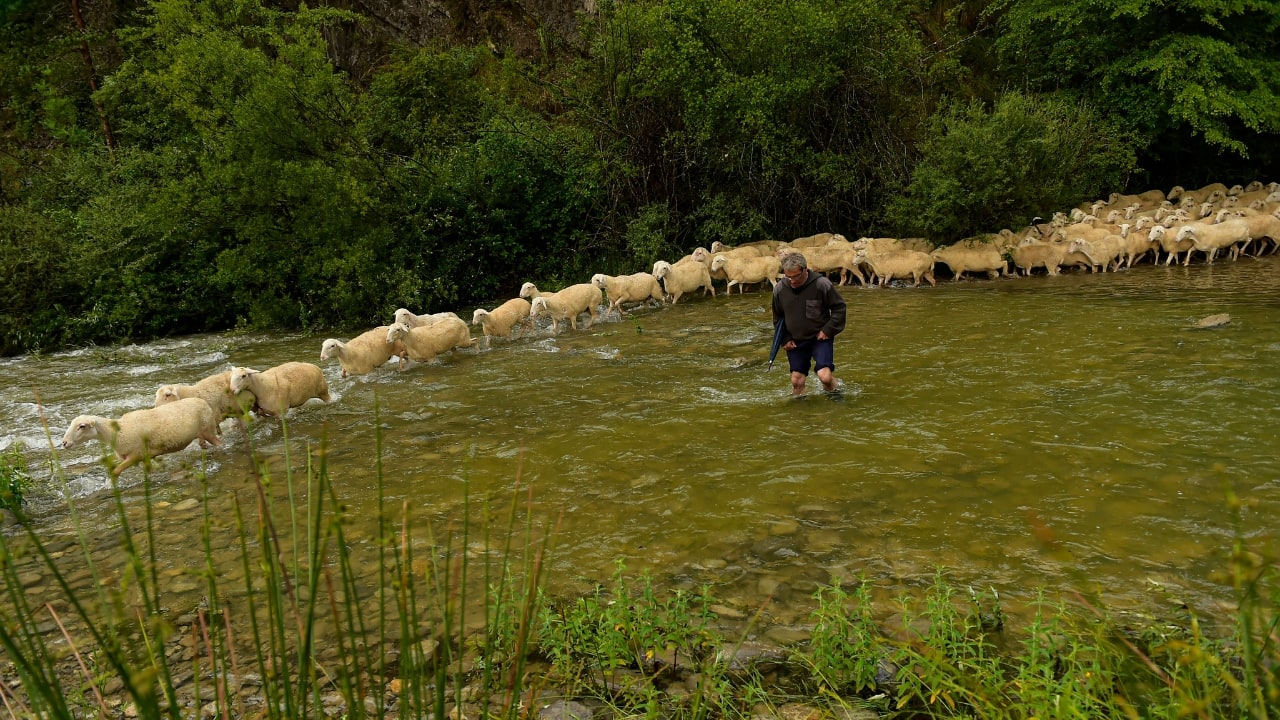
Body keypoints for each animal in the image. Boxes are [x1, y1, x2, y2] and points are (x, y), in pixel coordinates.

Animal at [61, 397, 221, 477]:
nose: (64, 443)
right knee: (204, 444)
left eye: (82, 426)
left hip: (208, 429)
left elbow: (115, 472)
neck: (118, 432)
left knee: (219, 443)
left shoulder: (135, 455)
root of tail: (203, 401)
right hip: (202, 433)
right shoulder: (145, 456)